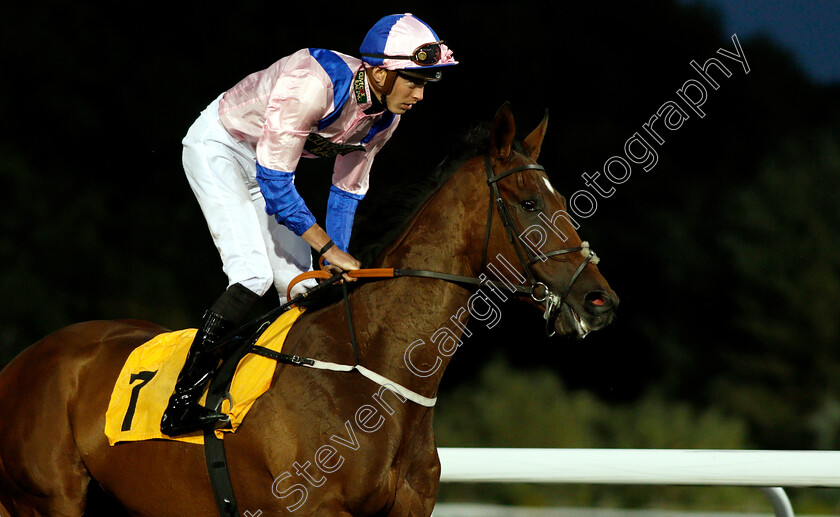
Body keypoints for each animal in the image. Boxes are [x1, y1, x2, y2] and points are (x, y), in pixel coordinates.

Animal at [0, 103, 616, 512]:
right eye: (530, 203)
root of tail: (20, 363)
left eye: (563, 200)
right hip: (48, 500)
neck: (375, 375)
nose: (600, 300)